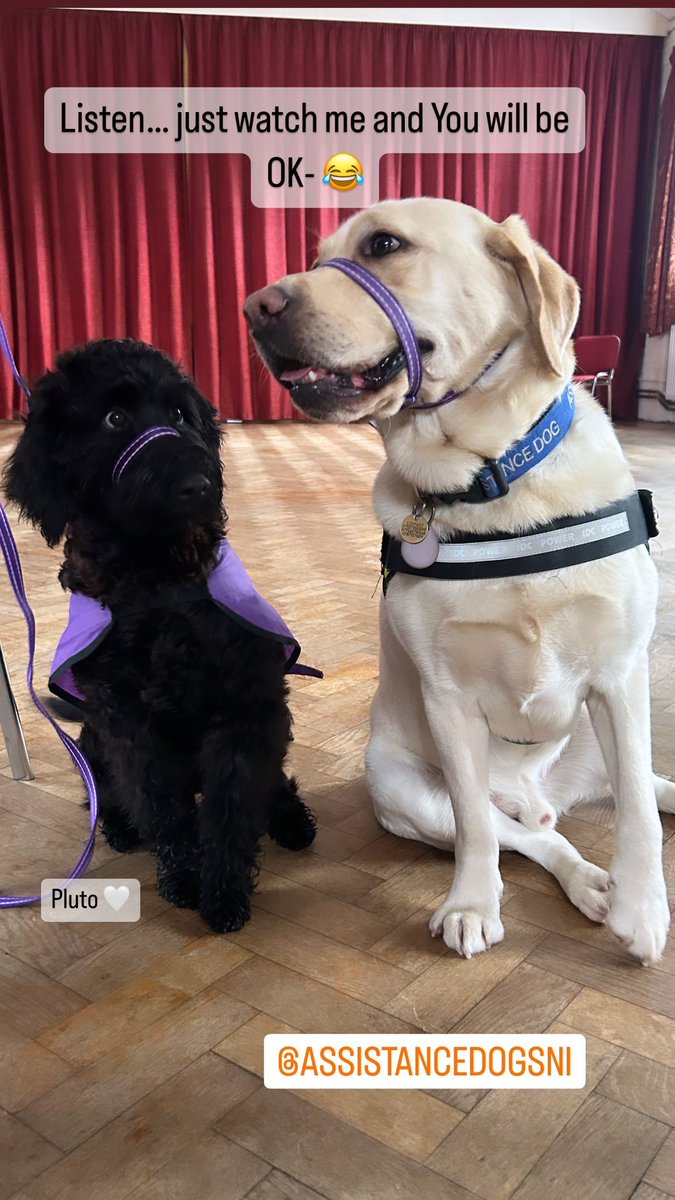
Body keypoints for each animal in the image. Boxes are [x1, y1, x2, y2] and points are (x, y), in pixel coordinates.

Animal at [4, 343, 314, 931]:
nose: (201, 486)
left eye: (179, 414)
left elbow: (232, 807)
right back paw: (120, 827)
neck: (158, 586)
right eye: (114, 418)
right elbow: (159, 803)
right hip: (93, 739)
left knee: (271, 781)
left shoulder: (246, 708)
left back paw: (290, 817)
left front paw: (224, 893)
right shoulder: (127, 721)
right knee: (108, 791)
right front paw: (185, 879)